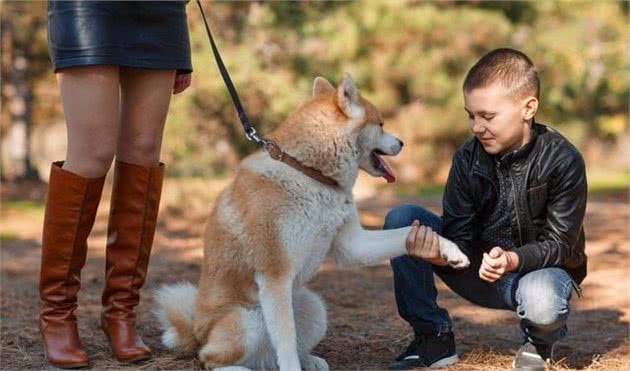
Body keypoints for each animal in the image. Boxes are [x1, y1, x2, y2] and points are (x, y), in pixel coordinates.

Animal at [154, 74, 470, 370]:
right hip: (248, 321)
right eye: (381, 124)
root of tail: (197, 332)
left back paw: (309, 360)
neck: (309, 173)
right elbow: (285, 340)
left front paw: (449, 250)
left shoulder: (352, 245)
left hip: (314, 308)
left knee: (272, 355)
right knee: (209, 358)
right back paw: (236, 367)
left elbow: (408, 234)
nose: (402, 143)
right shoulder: (275, 275)